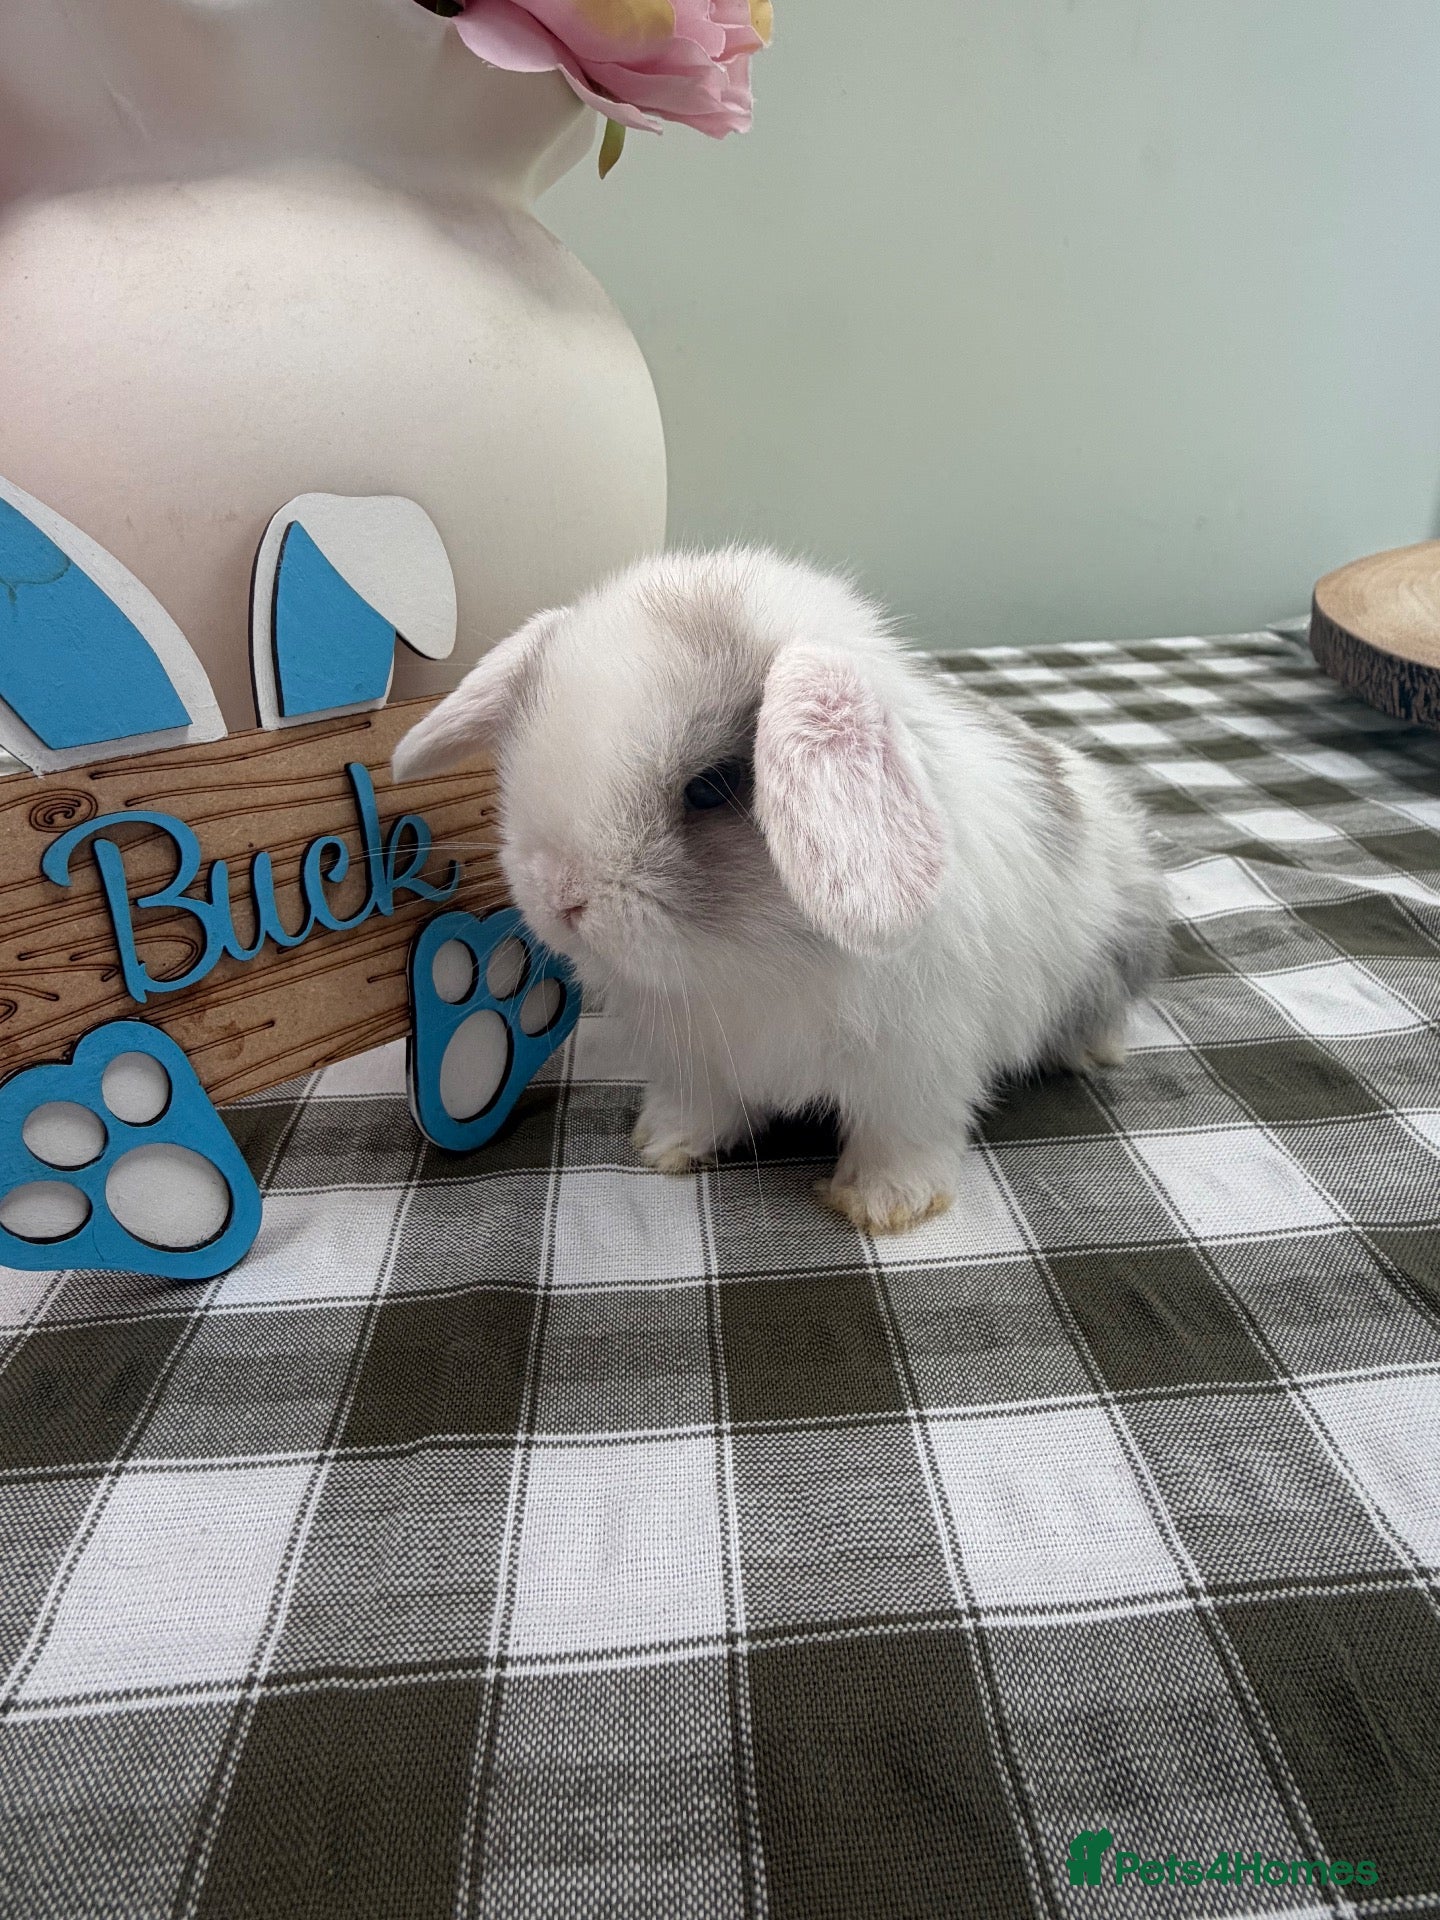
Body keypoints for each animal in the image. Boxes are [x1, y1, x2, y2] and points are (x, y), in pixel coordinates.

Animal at [391, 547, 1168, 1233]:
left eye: (711, 786)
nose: (561, 898)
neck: (756, 958)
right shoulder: (697, 1060)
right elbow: (701, 1107)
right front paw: (665, 1146)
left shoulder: (917, 1069)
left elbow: (901, 1138)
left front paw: (885, 1205)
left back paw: (1091, 1052)